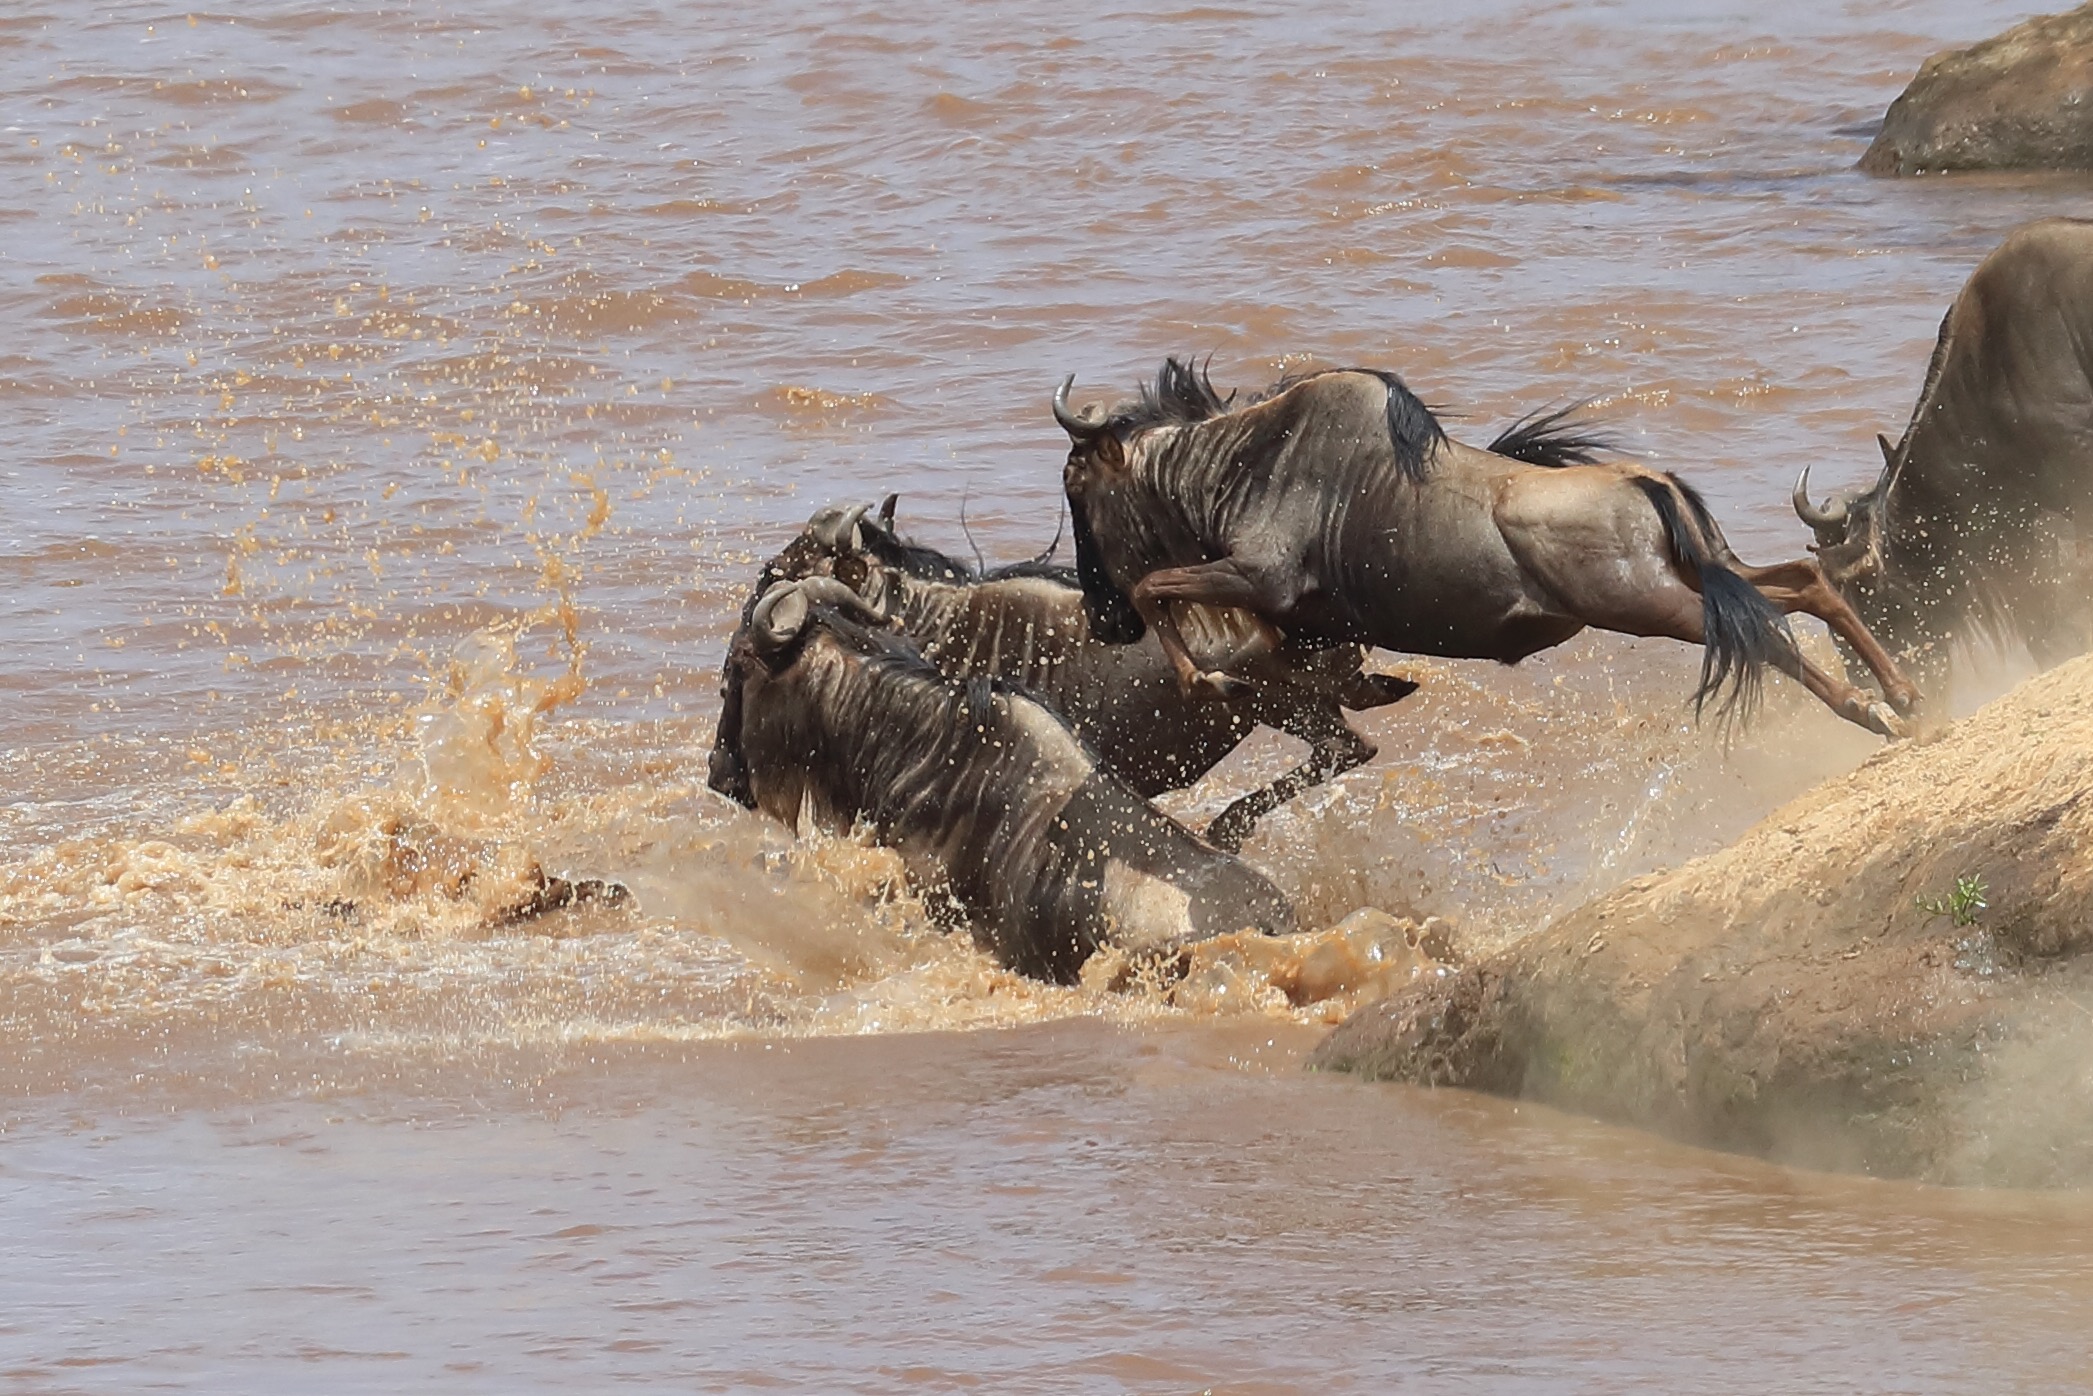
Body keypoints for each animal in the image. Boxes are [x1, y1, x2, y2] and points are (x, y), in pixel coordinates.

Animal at [753, 497, 1416, 851]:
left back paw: (1227, 827)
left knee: (1346, 745)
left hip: (1275, 700)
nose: (758, 622)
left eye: (786, 568)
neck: (940, 626)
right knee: (1349, 744)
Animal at [1054, 359, 1921, 736]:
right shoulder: (1303, 620)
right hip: (1704, 573)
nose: (1099, 620)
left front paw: (1204, 680)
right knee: (1801, 581)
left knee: (1762, 635)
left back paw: (1871, 713)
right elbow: (1287, 663)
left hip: (1648, 603)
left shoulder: (1259, 579)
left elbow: (1155, 586)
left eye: (1074, 484)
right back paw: (1901, 693)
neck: (1240, 463)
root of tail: (1648, 480)